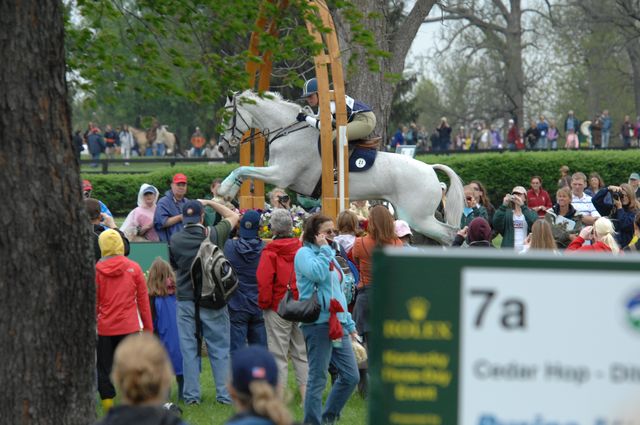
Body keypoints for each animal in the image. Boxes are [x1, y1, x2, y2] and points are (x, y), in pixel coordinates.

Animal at [218, 91, 462, 243]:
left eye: (228, 116)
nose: (221, 147)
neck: (288, 132)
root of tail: (430, 169)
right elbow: (245, 172)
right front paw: (228, 192)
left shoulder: (280, 175)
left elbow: (243, 169)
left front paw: (223, 190)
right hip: (411, 214)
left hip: (417, 216)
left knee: (449, 235)